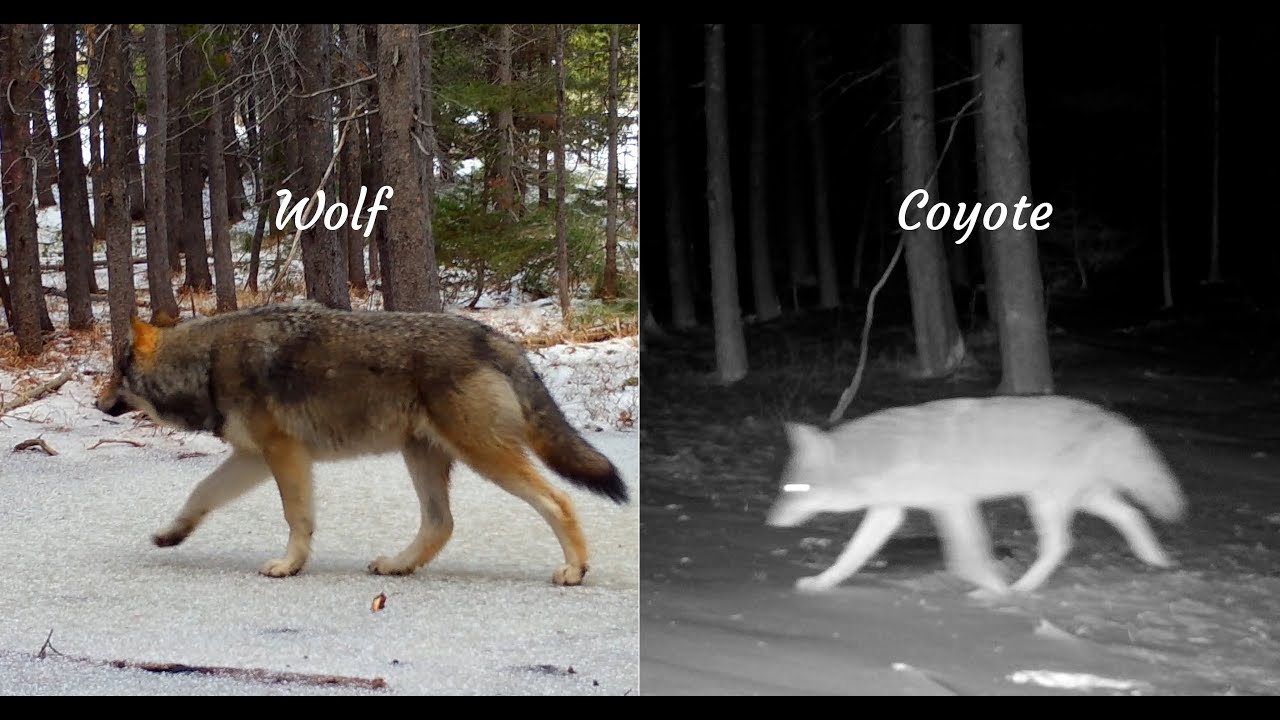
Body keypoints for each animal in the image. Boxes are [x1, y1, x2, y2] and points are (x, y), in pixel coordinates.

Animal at [95, 302, 628, 585]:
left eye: (114, 374)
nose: (97, 403)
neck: (206, 362)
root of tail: (496, 338)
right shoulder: (252, 457)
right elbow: (199, 495)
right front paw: (171, 535)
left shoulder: (283, 453)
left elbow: (297, 517)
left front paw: (290, 564)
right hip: (422, 457)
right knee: (441, 524)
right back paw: (397, 565)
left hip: (485, 457)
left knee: (558, 501)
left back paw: (575, 569)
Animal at [765, 395, 1187, 595]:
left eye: (793, 490)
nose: (770, 521)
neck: (887, 453)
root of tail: (1116, 420)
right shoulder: (889, 512)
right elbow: (850, 557)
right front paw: (821, 583)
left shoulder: (953, 505)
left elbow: (966, 559)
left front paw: (992, 587)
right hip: (1083, 499)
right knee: (1131, 516)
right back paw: (1157, 559)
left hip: (1046, 501)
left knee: (1060, 544)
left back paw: (1015, 591)